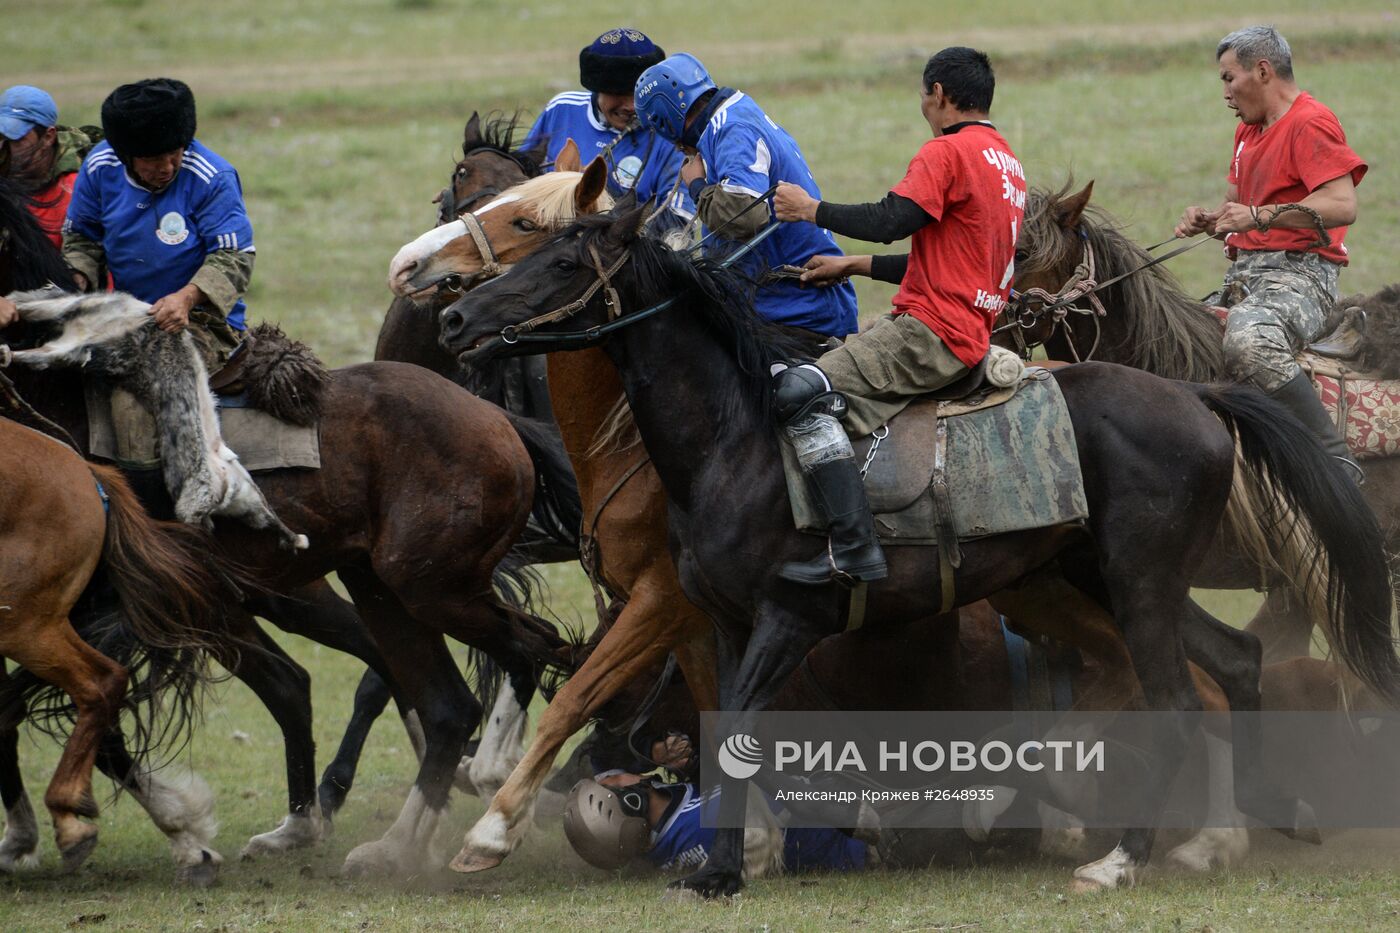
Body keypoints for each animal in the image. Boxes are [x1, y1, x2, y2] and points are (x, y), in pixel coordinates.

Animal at [0, 177, 579, 874]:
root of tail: (494, 419)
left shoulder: (109, 613)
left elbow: (74, 704)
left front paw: (168, 827)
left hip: (428, 588)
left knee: (527, 646)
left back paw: (483, 784)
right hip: (369, 587)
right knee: (441, 700)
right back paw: (392, 839)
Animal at [439, 205, 1400, 896]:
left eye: (560, 262)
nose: (451, 313)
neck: (735, 441)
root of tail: (1198, 394)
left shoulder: (785, 613)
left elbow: (734, 722)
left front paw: (718, 866)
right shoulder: (717, 618)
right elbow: (721, 725)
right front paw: (731, 856)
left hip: (1138, 584)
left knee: (1178, 699)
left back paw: (1124, 855)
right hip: (1105, 580)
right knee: (1234, 662)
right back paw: (1261, 812)